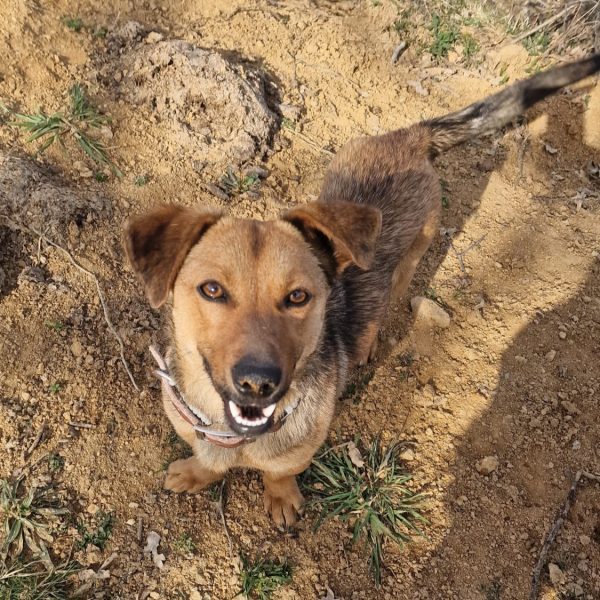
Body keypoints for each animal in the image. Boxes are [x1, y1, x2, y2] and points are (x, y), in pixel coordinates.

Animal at [124, 54, 600, 527]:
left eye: (298, 297)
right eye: (211, 289)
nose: (258, 383)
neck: (232, 434)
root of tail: (410, 136)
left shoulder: (298, 449)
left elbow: (280, 471)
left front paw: (280, 497)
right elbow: (205, 459)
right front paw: (195, 472)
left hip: (414, 251)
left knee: (391, 294)